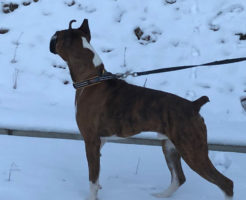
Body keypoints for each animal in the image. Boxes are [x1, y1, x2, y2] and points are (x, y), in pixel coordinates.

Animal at [49, 19, 233, 200]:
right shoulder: (100, 140)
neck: (91, 78)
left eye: (57, 35)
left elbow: (92, 179)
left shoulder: (91, 140)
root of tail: (194, 105)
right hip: (170, 147)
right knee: (179, 178)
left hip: (193, 151)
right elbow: (97, 173)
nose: (51, 37)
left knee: (226, 183)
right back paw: (161, 195)